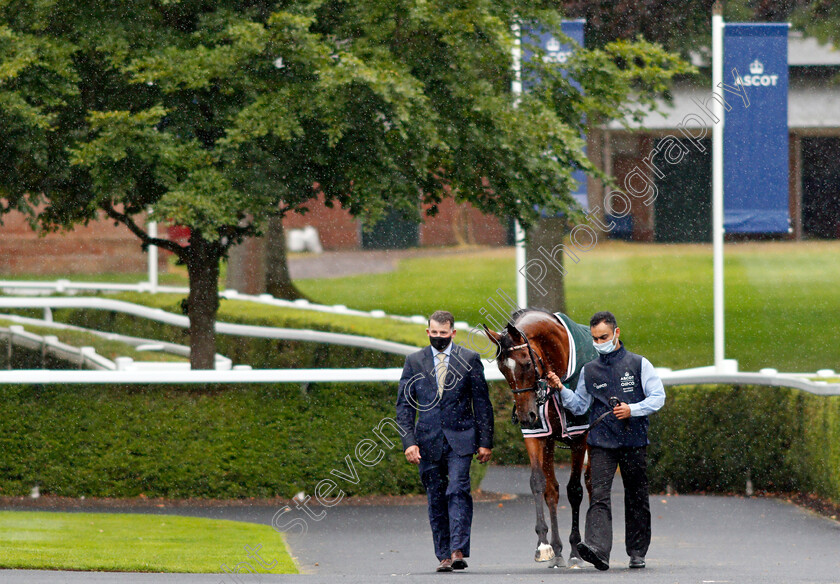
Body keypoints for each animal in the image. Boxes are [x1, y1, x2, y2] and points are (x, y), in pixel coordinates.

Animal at [482, 310, 592, 572]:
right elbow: (538, 484)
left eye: (527, 363)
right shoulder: (537, 435)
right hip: (549, 443)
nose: (525, 416)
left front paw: (576, 551)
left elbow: (575, 490)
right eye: (502, 369)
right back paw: (558, 550)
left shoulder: (580, 437)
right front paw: (544, 545)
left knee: (591, 485)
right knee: (552, 490)